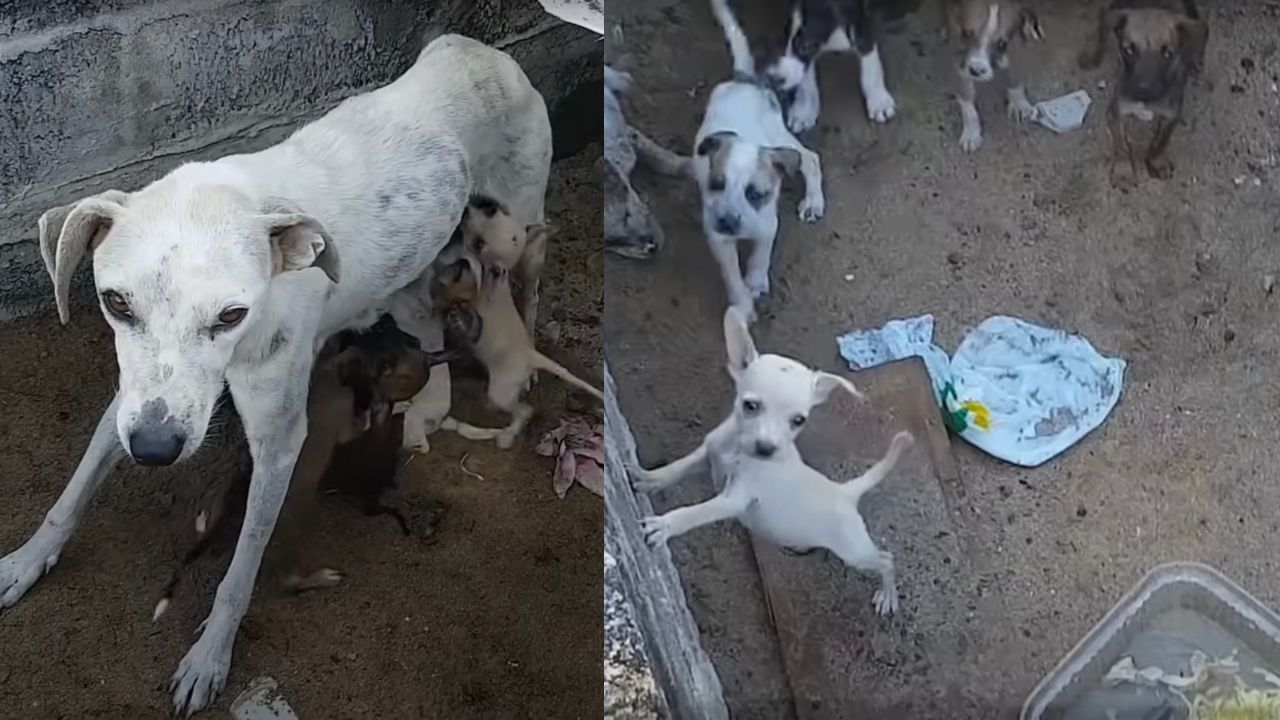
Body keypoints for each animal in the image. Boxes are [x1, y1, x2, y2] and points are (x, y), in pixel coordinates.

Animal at [154, 311, 476, 614]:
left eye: (401, 337)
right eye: (402, 346)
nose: (386, 319)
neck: (335, 369)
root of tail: (231, 516)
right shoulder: (346, 423)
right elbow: (361, 422)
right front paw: (382, 409)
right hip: (289, 539)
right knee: (288, 582)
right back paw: (320, 578)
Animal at [627, 304, 911, 614]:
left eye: (798, 420)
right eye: (750, 406)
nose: (766, 449)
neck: (735, 451)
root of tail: (845, 492)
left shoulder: (733, 500)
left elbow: (694, 513)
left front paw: (664, 525)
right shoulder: (707, 453)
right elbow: (676, 469)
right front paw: (647, 477)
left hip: (855, 552)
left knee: (885, 559)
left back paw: (888, 594)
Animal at [947, 0, 1044, 151]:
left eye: (1001, 44)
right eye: (966, 34)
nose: (976, 71)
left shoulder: (1015, 42)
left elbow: (1014, 77)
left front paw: (1019, 104)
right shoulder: (958, 54)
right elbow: (966, 98)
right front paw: (971, 133)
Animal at [1080, 0, 1208, 183]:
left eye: (1168, 54)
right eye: (1128, 50)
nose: (1143, 89)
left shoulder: (1171, 115)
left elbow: (1161, 140)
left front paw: (1157, 161)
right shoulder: (1117, 112)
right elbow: (1121, 145)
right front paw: (1123, 171)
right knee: (1102, 25)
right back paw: (1092, 54)